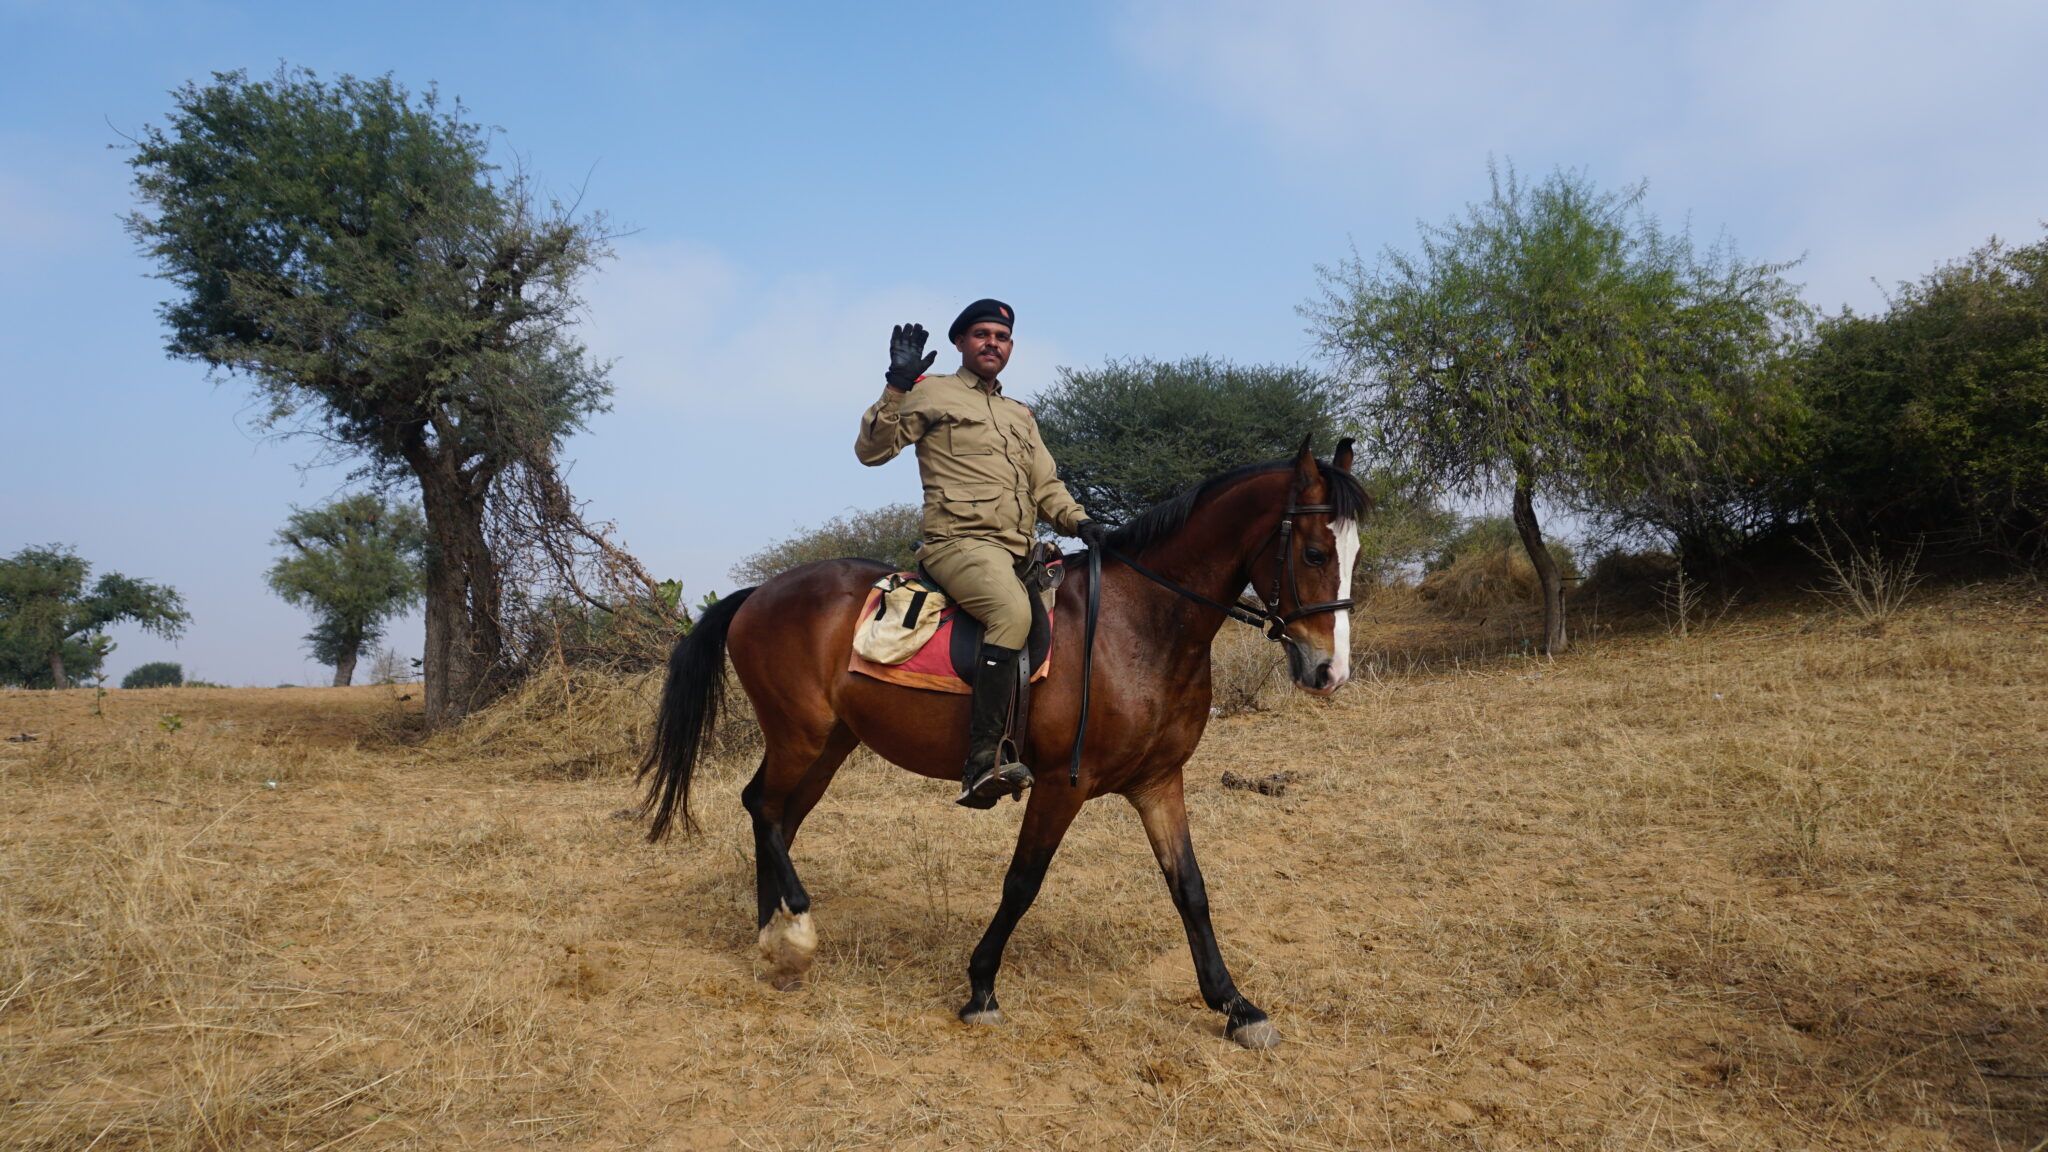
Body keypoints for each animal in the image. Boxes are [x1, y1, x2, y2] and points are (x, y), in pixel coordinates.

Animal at [639, 437, 1367, 1048]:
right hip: (801, 735)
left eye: (1355, 554)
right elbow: (1022, 882)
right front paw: (981, 987)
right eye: (1313, 553)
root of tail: (760, 592)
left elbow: (1190, 888)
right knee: (761, 808)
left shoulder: (1159, 783)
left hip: (830, 745)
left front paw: (1236, 1006)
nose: (1328, 672)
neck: (1136, 624)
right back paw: (793, 931)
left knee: (778, 819)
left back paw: (774, 938)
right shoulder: (1061, 786)